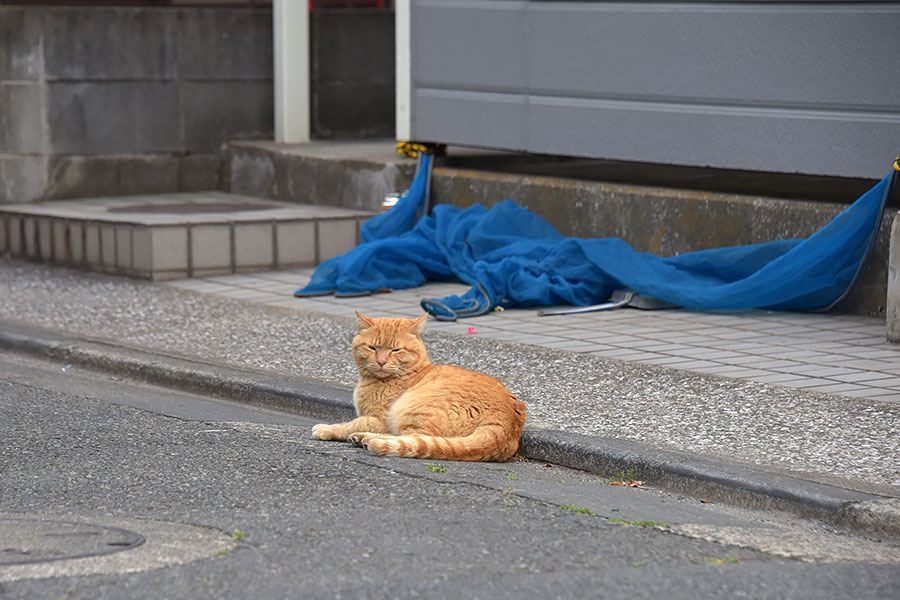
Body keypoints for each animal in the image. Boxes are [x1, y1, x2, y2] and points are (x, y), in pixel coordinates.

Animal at [312, 312, 528, 462]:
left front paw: (326, 429)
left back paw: (366, 439)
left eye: (395, 350)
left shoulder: (380, 419)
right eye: (372, 348)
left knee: (412, 438)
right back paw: (360, 439)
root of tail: (507, 420)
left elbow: (351, 423)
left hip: (412, 409)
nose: (381, 361)